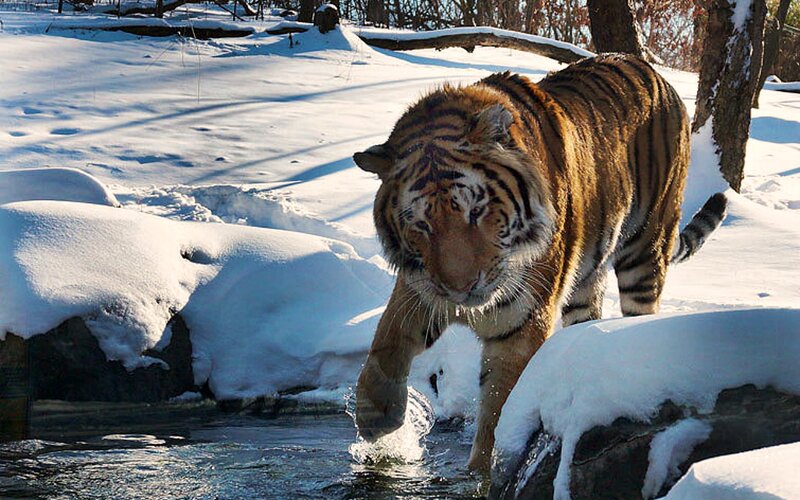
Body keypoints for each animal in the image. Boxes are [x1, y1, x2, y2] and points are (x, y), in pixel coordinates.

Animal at [352, 53, 727, 473]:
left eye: (476, 210)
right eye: (420, 224)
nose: (462, 289)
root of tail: (651, 70)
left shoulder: (521, 324)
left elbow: (498, 409)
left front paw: (483, 471)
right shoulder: (422, 286)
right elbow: (385, 341)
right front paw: (377, 421)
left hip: (646, 251)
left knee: (641, 311)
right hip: (585, 282)